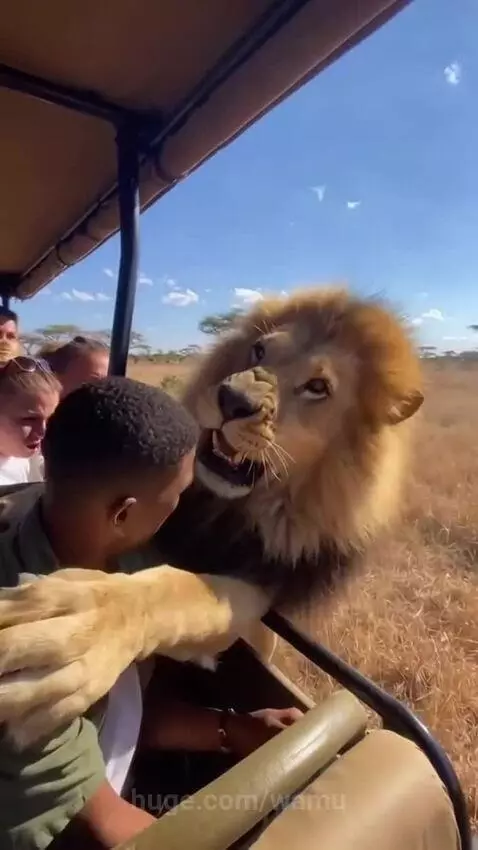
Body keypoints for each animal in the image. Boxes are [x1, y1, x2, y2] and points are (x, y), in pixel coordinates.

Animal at [0, 286, 423, 747]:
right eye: (258, 350)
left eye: (318, 387)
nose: (233, 400)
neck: (225, 509)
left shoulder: (260, 581)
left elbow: (179, 593)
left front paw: (76, 626)